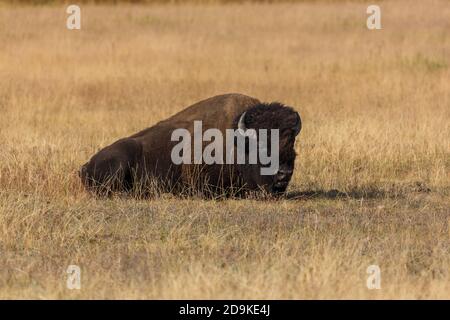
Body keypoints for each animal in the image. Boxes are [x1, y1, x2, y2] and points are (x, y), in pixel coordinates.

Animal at [80, 93, 302, 198]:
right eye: (261, 146)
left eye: (291, 142)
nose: (284, 174)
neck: (238, 143)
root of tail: (85, 165)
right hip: (120, 160)